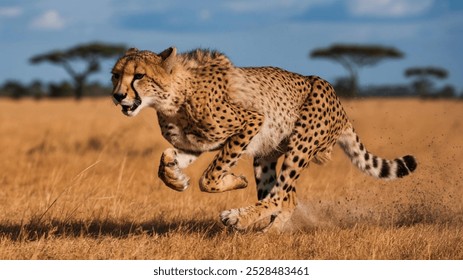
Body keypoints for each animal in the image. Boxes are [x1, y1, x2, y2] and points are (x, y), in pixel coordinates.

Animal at [111, 47, 416, 232]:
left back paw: (238, 217)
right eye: (115, 75)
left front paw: (234, 180)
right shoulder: (195, 144)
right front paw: (176, 179)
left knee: (280, 194)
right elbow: (167, 157)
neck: (173, 97)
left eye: (139, 75)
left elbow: (210, 177)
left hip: (300, 146)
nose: (117, 95)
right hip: (266, 155)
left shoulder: (251, 121)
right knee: (286, 198)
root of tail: (338, 101)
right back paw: (268, 231)